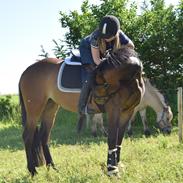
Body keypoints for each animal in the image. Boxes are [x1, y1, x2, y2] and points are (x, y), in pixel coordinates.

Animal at [18, 47, 144, 176]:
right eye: (94, 77)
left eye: (100, 77)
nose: (98, 99)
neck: (129, 82)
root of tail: (26, 72)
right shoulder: (113, 111)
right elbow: (112, 140)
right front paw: (112, 170)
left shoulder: (127, 112)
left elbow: (119, 140)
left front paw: (116, 165)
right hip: (34, 109)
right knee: (28, 136)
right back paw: (33, 170)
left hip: (50, 108)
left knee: (44, 137)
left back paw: (52, 167)